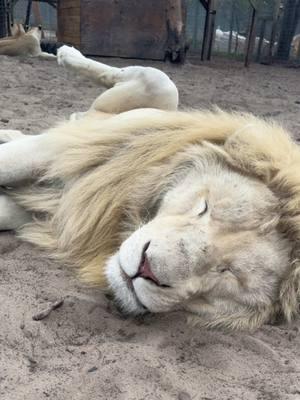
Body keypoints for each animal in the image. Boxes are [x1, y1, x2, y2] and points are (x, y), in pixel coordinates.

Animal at [0, 45, 300, 330]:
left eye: (228, 272)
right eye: (204, 208)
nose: (147, 270)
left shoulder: (55, 210)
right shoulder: (52, 151)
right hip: (158, 94)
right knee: (149, 77)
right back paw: (65, 54)